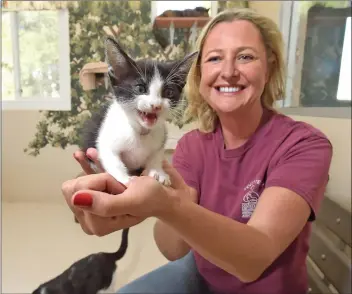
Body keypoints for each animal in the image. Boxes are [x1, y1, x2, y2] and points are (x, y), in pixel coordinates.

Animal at [80, 36, 198, 186]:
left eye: (169, 92)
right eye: (140, 89)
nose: (156, 105)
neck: (141, 131)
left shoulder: (160, 139)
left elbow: (156, 157)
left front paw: (158, 172)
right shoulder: (106, 140)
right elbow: (112, 159)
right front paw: (125, 178)